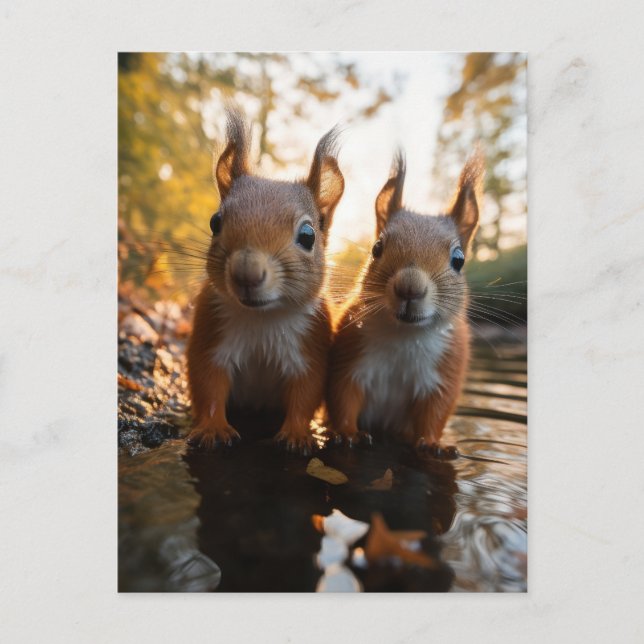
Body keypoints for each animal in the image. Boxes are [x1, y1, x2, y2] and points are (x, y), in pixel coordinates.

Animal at [187, 109, 344, 454]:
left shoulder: (308, 351)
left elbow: (305, 393)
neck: (262, 318)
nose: (246, 273)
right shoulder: (212, 340)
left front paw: (297, 435)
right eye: (215, 222)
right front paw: (214, 429)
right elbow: (209, 385)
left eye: (308, 236)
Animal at [327, 149, 484, 453]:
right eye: (377, 248)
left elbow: (435, 412)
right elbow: (343, 397)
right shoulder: (350, 359)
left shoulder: (444, 374)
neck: (405, 336)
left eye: (458, 260)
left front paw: (434, 444)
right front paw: (347, 433)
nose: (410, 288)